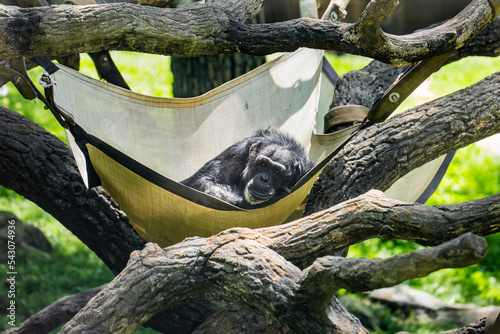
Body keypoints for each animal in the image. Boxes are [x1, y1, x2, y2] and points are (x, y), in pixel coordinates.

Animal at [182, 129, 314, 209]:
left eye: (276, 172)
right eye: (263, 164)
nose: (264, 178)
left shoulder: (305, 171)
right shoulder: (237, 152)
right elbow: (204, 180)